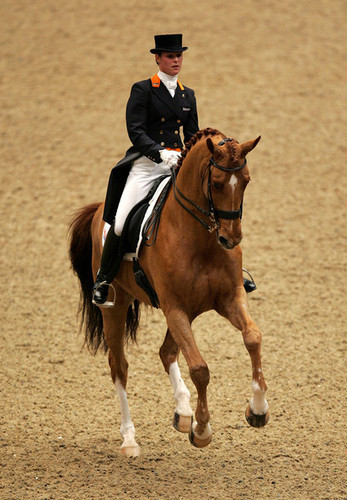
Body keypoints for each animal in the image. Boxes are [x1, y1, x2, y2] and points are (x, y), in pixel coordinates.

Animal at [69, 128, 270, 458]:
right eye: (216, 183)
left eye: (247, 180)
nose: (231, 239)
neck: (201, 238)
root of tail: (99, 210)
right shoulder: (175, 307)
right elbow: (200, 368)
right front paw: (202, 431)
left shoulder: (228, 298)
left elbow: (253, 337)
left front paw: (257, 410)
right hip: (117, 306)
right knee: (119, 367)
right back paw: (130, 440)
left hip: (187, 311)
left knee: (167, 352)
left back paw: (183, 412)